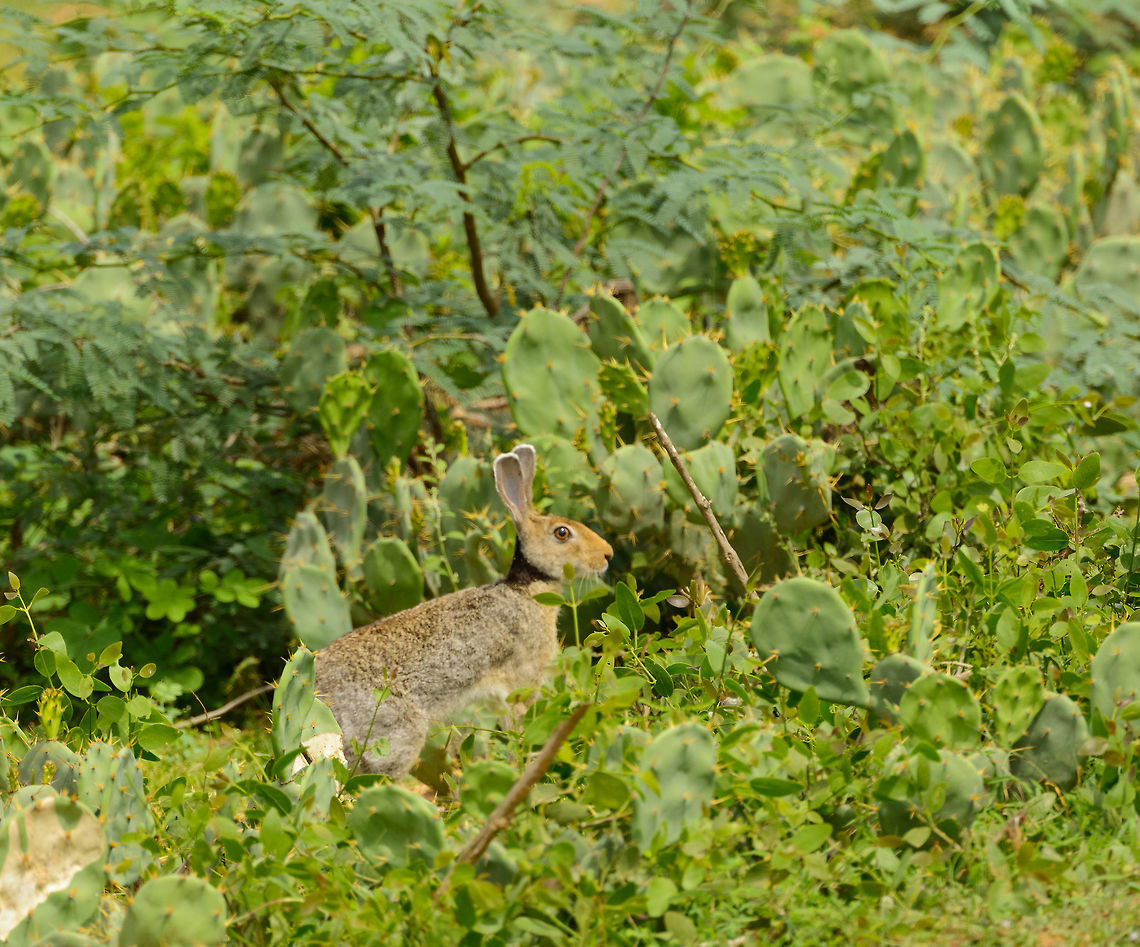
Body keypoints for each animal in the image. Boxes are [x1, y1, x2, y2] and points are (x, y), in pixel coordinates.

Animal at [305, 444, 614, 778]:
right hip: (394, 730)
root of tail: (316, 694)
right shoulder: (520, 683)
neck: (526, 586)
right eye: (562, 533)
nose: (607, 554)